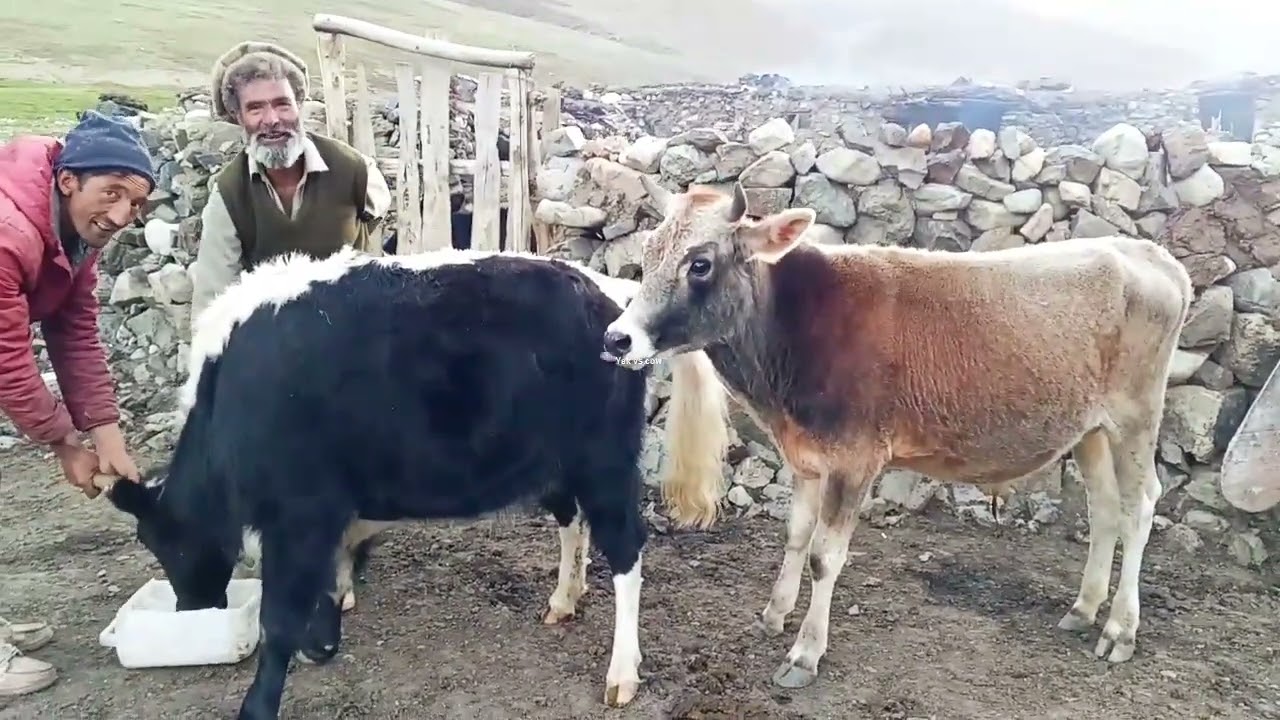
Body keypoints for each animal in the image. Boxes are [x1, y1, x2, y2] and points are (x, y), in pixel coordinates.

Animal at [91, 245, 730, 720]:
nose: (192, 609)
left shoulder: (298, 513)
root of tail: (614, 299)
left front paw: (260, 702)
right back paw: (562, 601)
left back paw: (622, 674)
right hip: (558, 463)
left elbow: (278, 616)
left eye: (164, 542)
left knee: (625, 552)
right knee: (572, 524)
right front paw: (324, 638)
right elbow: (328, 581)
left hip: (605, 464)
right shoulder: (323, 514)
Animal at [601, 178, 1193, 691]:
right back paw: (1083, 608)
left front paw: (805, 653)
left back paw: (1119, 630)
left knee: (1140, 507)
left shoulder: (855, 459)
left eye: (699, 263)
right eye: (648, 253)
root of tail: (1147, 253)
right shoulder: (805, 456)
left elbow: (825, 556)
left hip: (1136, 415)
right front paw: (773, 613)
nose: (616, 337)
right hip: (1090, 429)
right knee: (1105, 509)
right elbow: (795, 535)